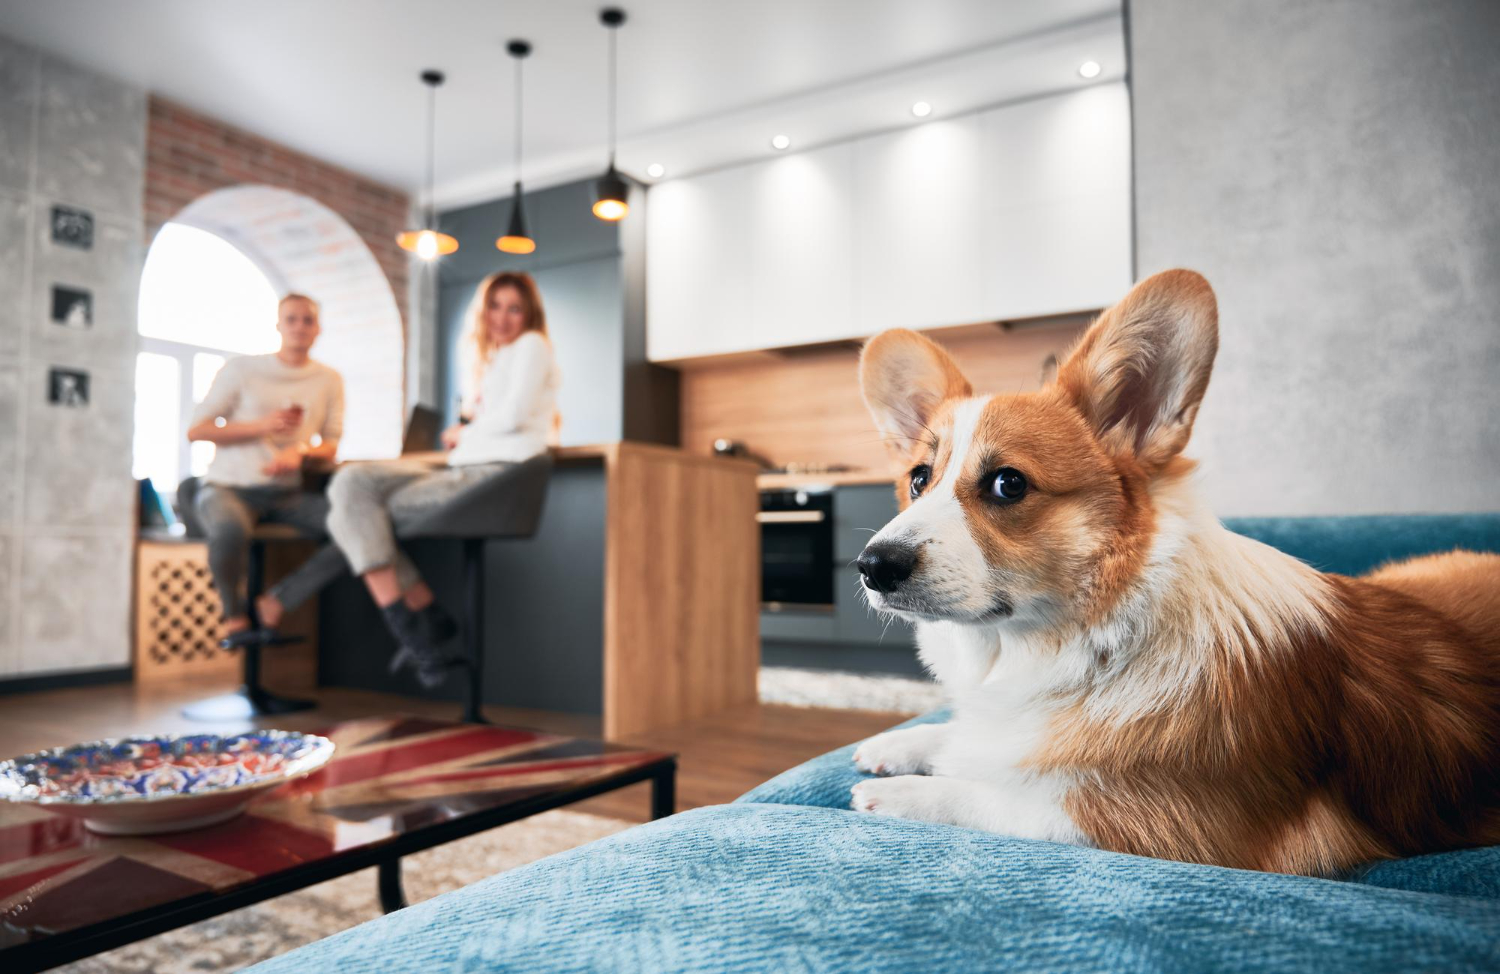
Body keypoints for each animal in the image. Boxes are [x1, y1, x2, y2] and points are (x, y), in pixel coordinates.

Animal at [852, 267, 1500, 876]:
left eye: (1008, 484)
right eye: (918, 480)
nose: (870, 566)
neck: (1089, 643)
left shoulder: (1180, 824)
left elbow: (1001, 799)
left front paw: (899, 794)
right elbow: (967, 737)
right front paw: (897, 743)